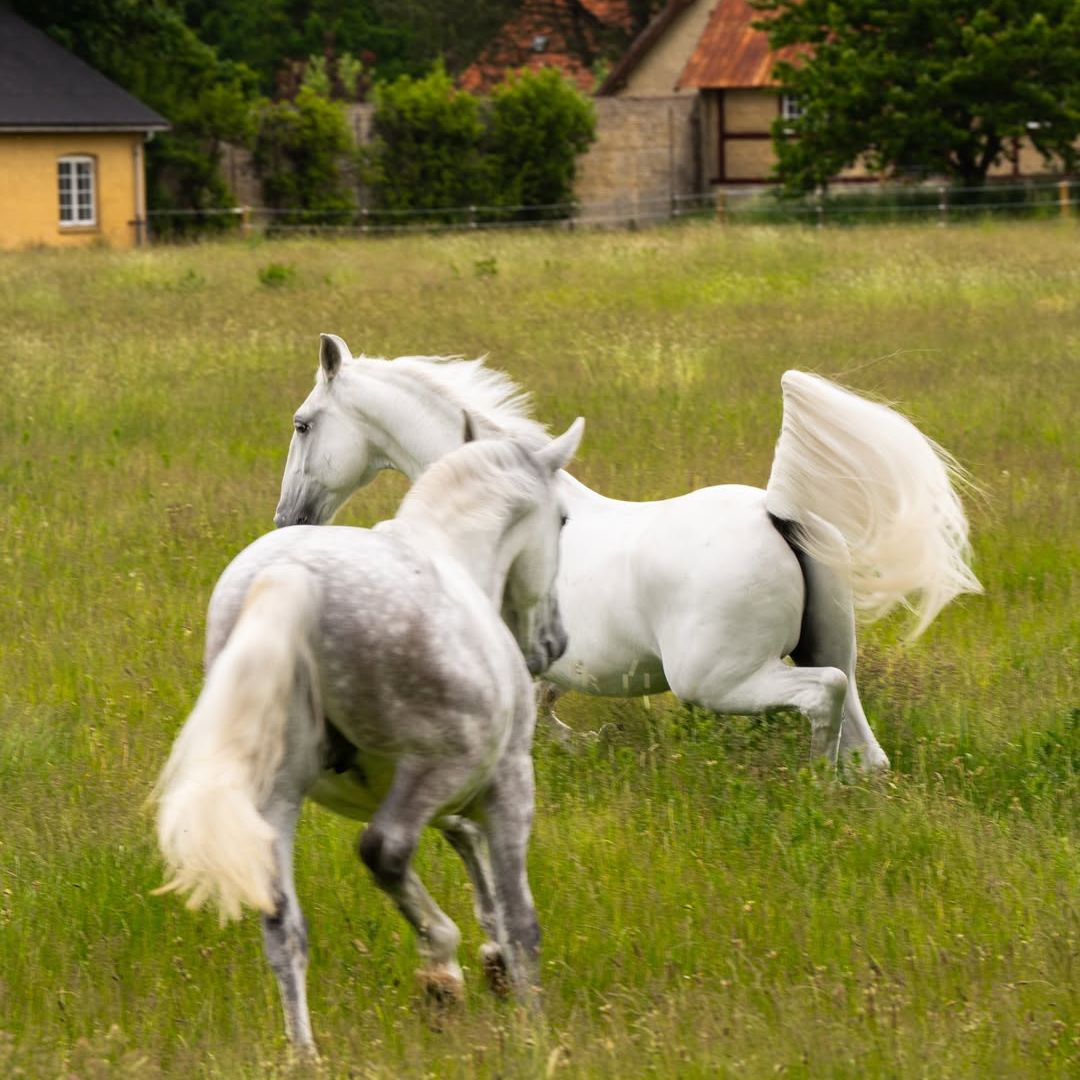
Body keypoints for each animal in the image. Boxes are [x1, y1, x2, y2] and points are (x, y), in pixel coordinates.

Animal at [154, 418, 584, 1054]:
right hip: (434, 772)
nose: (553, 644)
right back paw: (439, 971)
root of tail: (293, 580)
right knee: (385, 850)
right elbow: (518, 913)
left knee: (284, 928)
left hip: (278, 798)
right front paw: (531, 1025)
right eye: (562, 521)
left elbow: (465, 843)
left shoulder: (429, 791)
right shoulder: (503, 778)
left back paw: (307, 1054)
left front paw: (491, 963)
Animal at [275, 334, 982, 771]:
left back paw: (814, 783)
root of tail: (777, 512)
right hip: (830, 646)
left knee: (822, 697)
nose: (288, 518)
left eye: (302, 423)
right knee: (865, 740)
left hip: (718, 679)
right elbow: (546, 715)